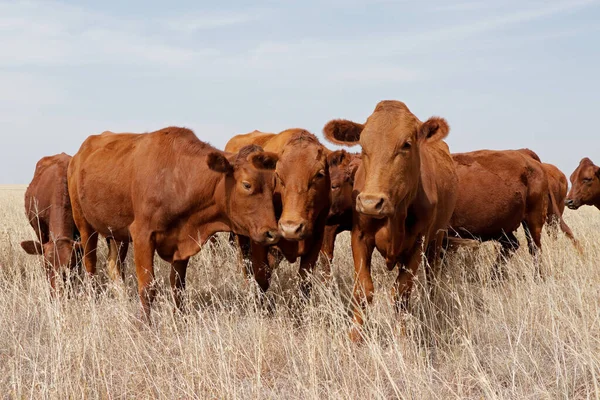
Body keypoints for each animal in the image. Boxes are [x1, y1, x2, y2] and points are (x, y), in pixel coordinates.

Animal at [68, 126, 282, 320]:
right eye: (247, 184)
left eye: (273, 185)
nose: (272, 233)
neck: (176, 178)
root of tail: (78, 155)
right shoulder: (142, 235)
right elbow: (147, 287)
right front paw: (144, 326)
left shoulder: (182, 240)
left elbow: (178, 287)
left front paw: (179, 319)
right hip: (85, 225)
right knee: (90, 265)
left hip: (116, 234)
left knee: (114, 267)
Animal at [227, 129, 336, 296]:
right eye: (277, 175)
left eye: (319, 174)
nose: (291, 228)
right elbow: (261, 280)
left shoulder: (315, 244)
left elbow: (304, 285)